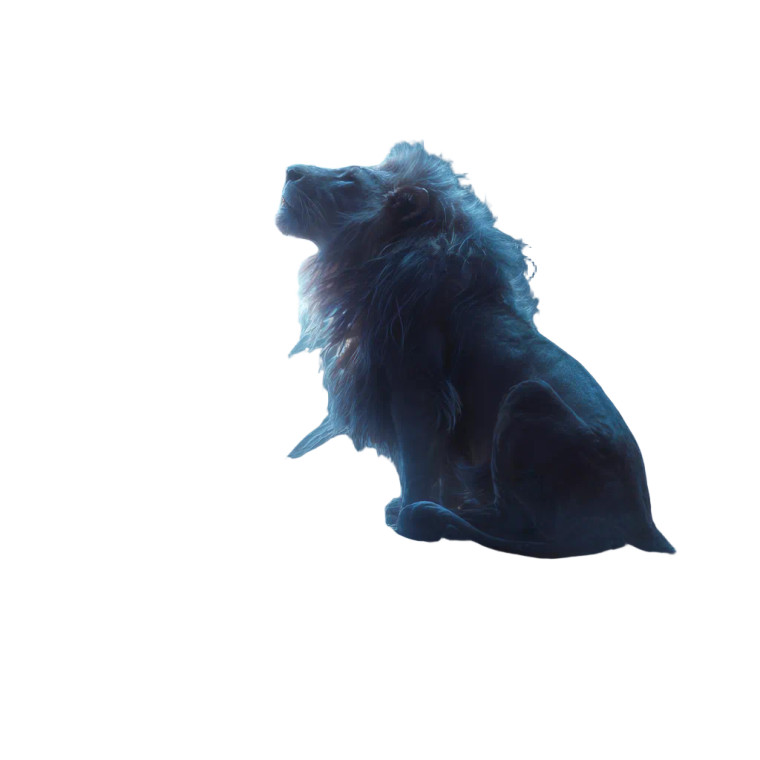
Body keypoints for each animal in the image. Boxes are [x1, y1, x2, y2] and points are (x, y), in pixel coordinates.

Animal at [276, 142, 674, 558]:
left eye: (350, 178)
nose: (290, 171)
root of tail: (645, 519)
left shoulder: (417, 388)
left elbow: (416, 462)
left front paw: (410, 518)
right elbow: (427, 466)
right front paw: (415, 506)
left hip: (528, 394)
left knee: (542, 532)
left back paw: (451, 519)